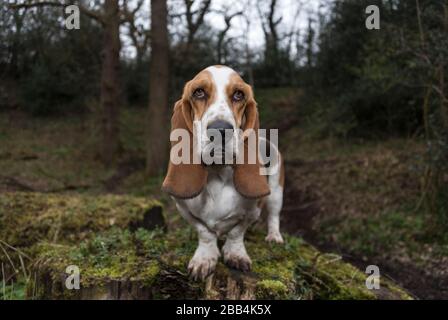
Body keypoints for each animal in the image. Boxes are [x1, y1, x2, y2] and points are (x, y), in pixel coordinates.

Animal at [163, 65, 286, 280]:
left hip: (276, 192)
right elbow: (204, 232)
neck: (217, 172)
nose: (220, 130)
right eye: (199, 92)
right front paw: (205, 258)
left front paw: (235, 254)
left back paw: (274, 237)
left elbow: (237, 232)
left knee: (273, 216)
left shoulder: (253, 209)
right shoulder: (183, 208)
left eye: (239, 94)